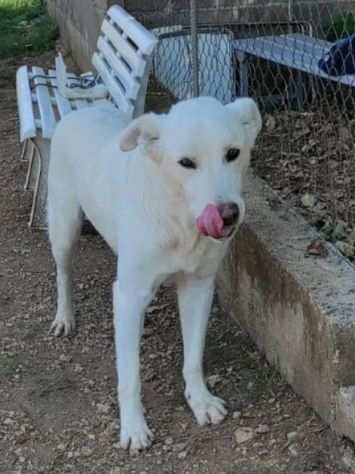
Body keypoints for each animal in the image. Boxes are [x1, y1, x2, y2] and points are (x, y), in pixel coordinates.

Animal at [48, 95, 262, 452]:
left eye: (233, 153)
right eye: (186, 162)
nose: (228, 214)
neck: (178, 222)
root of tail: (81, 109)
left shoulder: (197, 287)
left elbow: (193, 357)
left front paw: (200, 400)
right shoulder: (128, 294)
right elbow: (129, 375)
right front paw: (133, 426)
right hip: (64, 228)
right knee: (63, 273)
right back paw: (65, 316)